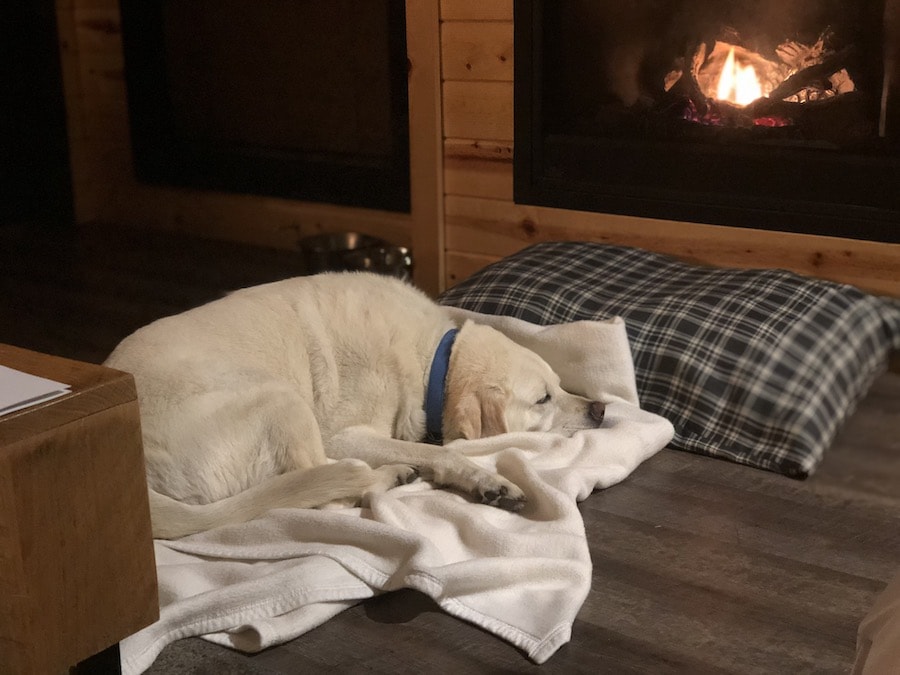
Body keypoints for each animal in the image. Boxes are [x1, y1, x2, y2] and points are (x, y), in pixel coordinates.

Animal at [109, 272, 608, 540]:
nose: (601, 410)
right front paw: (487, 480)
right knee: (328, 496)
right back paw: (389, 476)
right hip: (283, 400)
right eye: (542, 399)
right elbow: (441, 451)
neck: (434, 361)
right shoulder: (346, 435)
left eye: (560, 386)